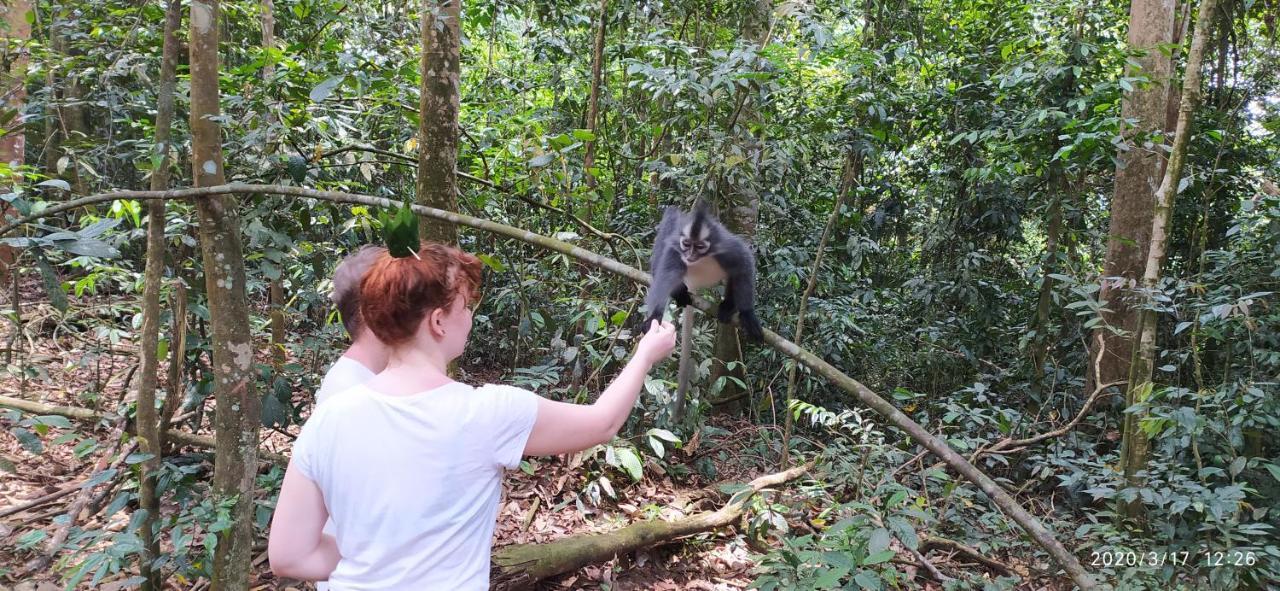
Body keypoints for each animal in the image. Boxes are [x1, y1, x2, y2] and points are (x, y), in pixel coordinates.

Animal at [645, 198, 762, 340]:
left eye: (700, 246)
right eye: (686, 244)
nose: (690, 255)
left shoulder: (727, 246)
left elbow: (744, 262)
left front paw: (747, 313)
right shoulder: (675, 248)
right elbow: (667, 273)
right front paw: (655, 315)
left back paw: (728, 305)